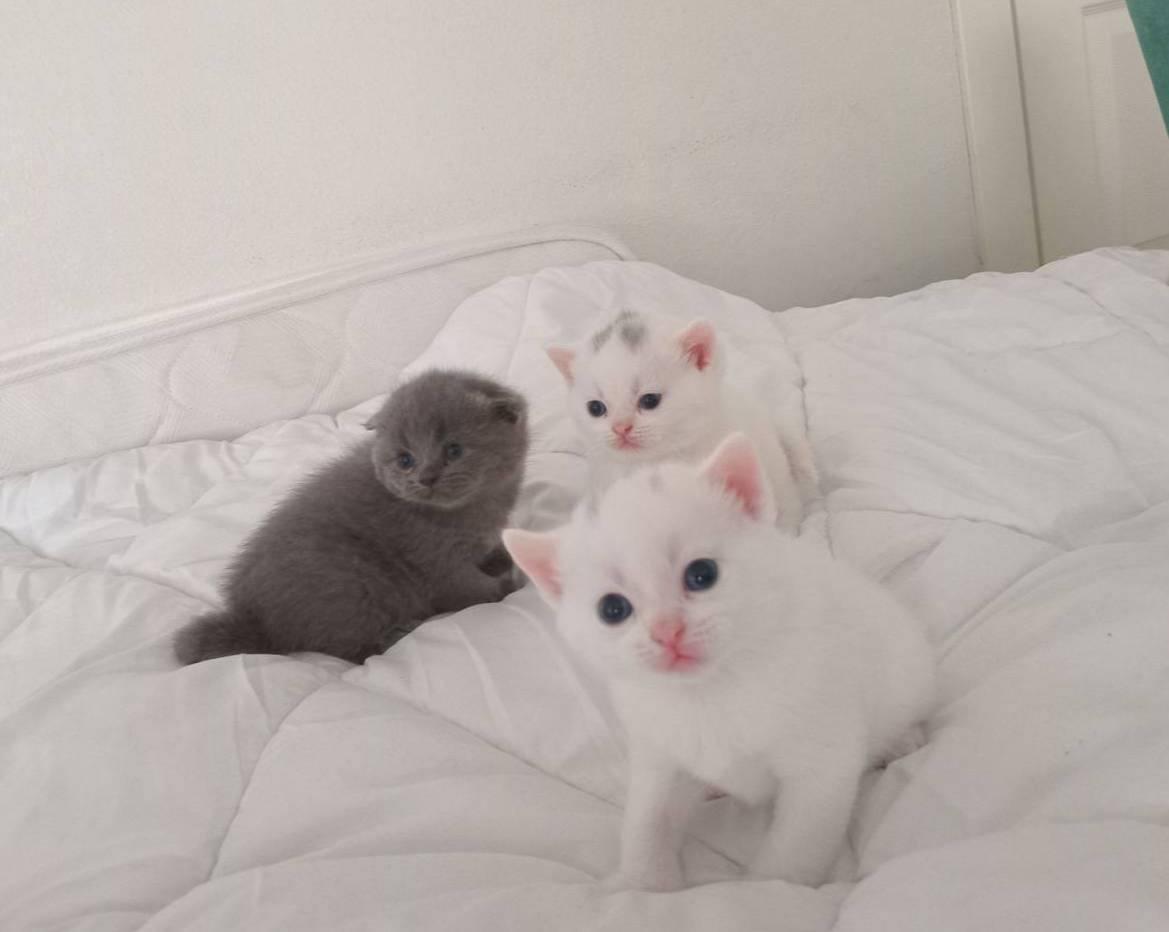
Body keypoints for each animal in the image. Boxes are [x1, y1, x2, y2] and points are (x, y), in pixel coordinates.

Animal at [174, 369, 529, 666]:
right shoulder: (434, 560)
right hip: (350, 586)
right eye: (405, 460)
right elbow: (468, 588)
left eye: (454, 450)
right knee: (347, 649)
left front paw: (502, 557)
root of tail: (255, 621)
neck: (474, 507)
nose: (426, 477)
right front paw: (505, 587)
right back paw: (394, 636)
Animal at [503, 432, 935, 890]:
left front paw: (767, 889)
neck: (709, 691)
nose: (667, 632)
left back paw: (903, 740)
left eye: (702, 574)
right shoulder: (659, 753)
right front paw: (646, 884)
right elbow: (647, 821)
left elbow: (793, 851)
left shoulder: (822, 764)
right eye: (613, 609)